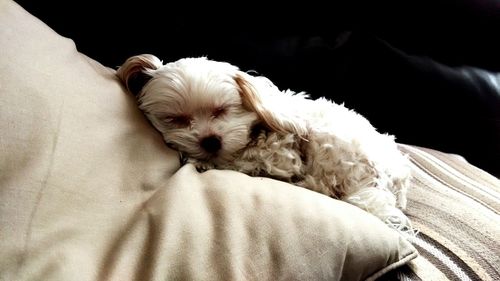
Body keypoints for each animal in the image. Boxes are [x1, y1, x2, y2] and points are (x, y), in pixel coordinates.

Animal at [116, 54, 414, 234]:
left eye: (222, 110)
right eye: (176, 119)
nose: (211, 141)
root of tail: (388, 186)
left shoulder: (282, 154)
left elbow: (244, 159)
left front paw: (202, 160)